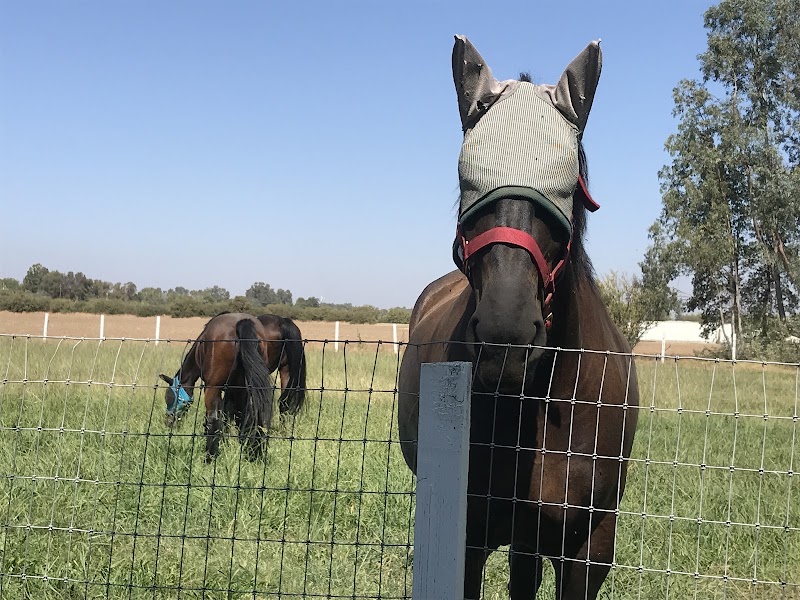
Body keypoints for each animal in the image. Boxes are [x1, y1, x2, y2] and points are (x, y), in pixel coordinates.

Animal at [159, 312, 307, 461]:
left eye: (169, 398)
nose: (168, 422)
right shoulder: (237, 388)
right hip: (281, 372)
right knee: (278, 406)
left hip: (214, 387)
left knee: (214, 418)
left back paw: (210, 457)